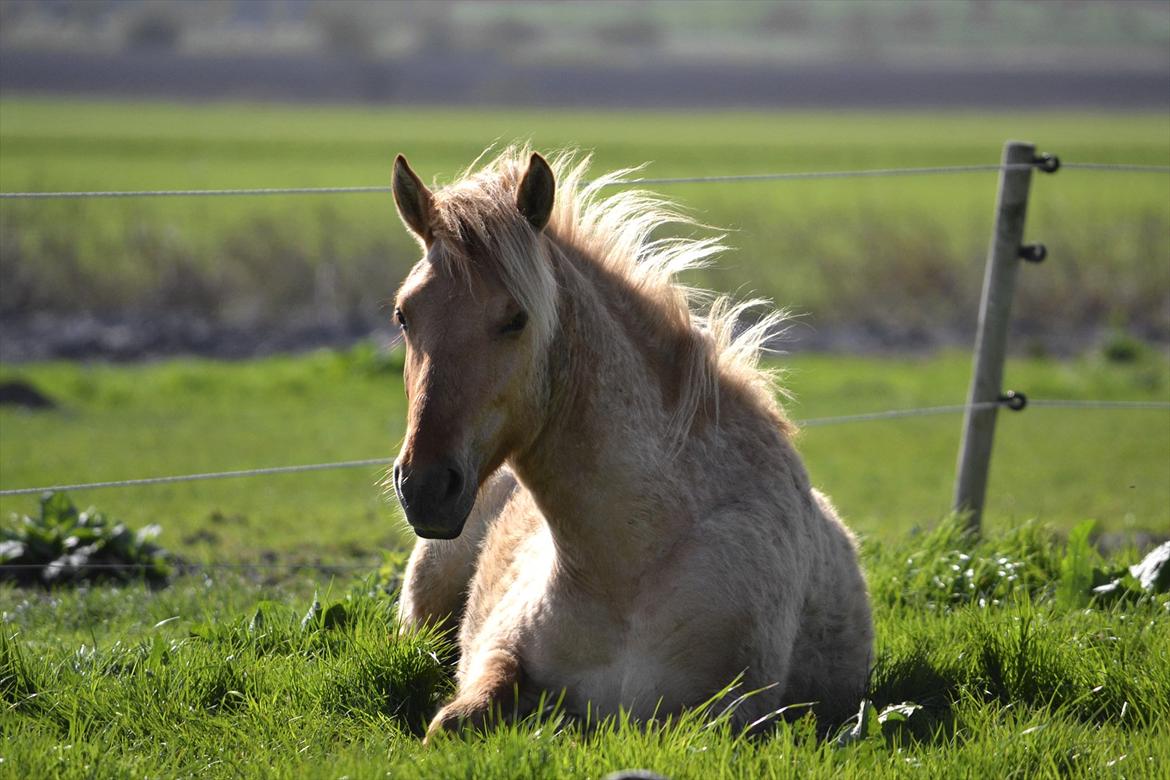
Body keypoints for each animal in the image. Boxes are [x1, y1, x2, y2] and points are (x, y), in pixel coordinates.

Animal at [388, 149, 875, 743]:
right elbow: (449, 723)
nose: (425, 486)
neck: (625, 570)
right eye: (404, 314)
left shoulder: (730, 716)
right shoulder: (495, 657)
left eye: (515, 319)